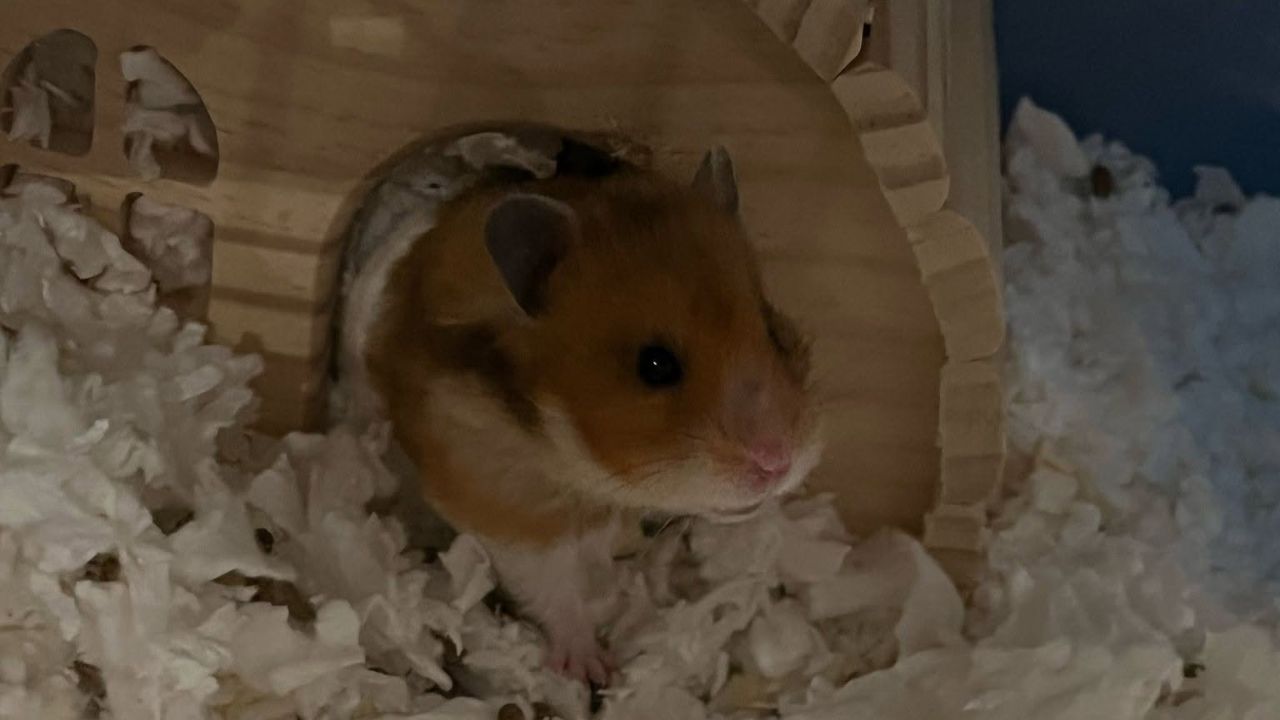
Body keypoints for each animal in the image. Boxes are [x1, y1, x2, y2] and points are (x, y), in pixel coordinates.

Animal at [362, 146, 823, 684]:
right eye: (655, 365)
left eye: (771, 328)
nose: (778, 463)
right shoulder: (508, 508)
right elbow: (553, 589)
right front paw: (593, 669)